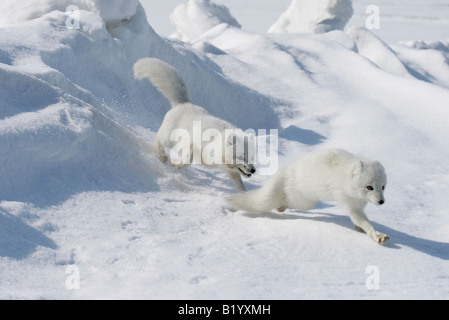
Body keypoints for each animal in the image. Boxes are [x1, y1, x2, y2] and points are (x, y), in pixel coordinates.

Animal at [133, 57, 254, 191]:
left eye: (251, 157)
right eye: (241, 157)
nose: (253, 170)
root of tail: (184, 103)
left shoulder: (230, 170)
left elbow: (239, 182)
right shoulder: (192, 144)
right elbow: (187, 160)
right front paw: (176, 165)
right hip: (169, 138)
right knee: (158, 138)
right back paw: (161, 156)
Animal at [228, 149, 388, 244]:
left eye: (382, 187)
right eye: (369, 187)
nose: (381, 201)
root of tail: (288, 168)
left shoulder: (359, 205)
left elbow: (360, 221)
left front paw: (359, 228)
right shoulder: (349, 204)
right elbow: (365, 222)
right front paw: (377, 235)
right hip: (305, 202)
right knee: (286, 201)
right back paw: (280, 207)